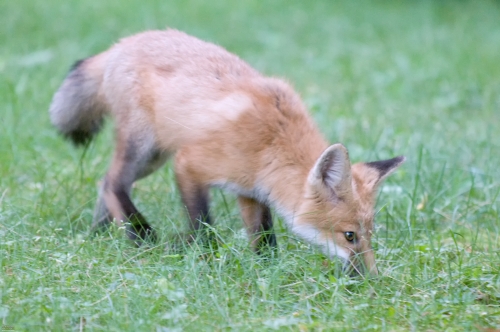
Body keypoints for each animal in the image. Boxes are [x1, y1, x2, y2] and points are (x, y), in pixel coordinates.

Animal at [48, 29, 404, 274]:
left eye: (369, 235)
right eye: (349, 236)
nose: (372, 278)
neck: (272, 144)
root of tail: (120, 45)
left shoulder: (251, 191)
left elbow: (264, 237)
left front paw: (267, 270)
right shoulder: (189, 164)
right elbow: (201, 221)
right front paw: (204, 257)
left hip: (154, 156)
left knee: (105, 181)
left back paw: (99, 233)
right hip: (145, 147)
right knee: (114, 183)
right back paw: (140, 235)